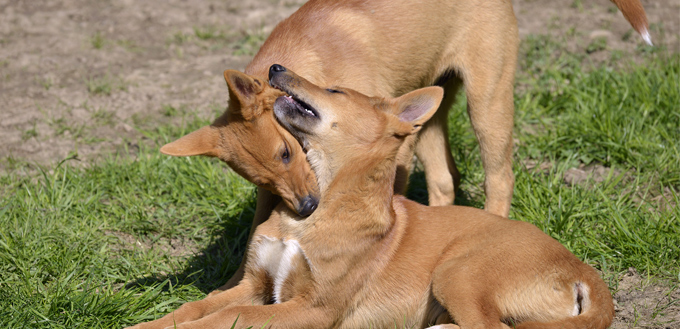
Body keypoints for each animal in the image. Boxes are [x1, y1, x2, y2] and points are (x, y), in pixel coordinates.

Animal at [127, 64, 616, 328]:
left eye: (335, 89)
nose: (276, 68)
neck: (314, 211)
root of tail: (583, 270)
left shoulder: (313, 310)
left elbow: (230, 318)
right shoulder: (255, 284)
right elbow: (194, 306)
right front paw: (148, 322)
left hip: (458, 272)